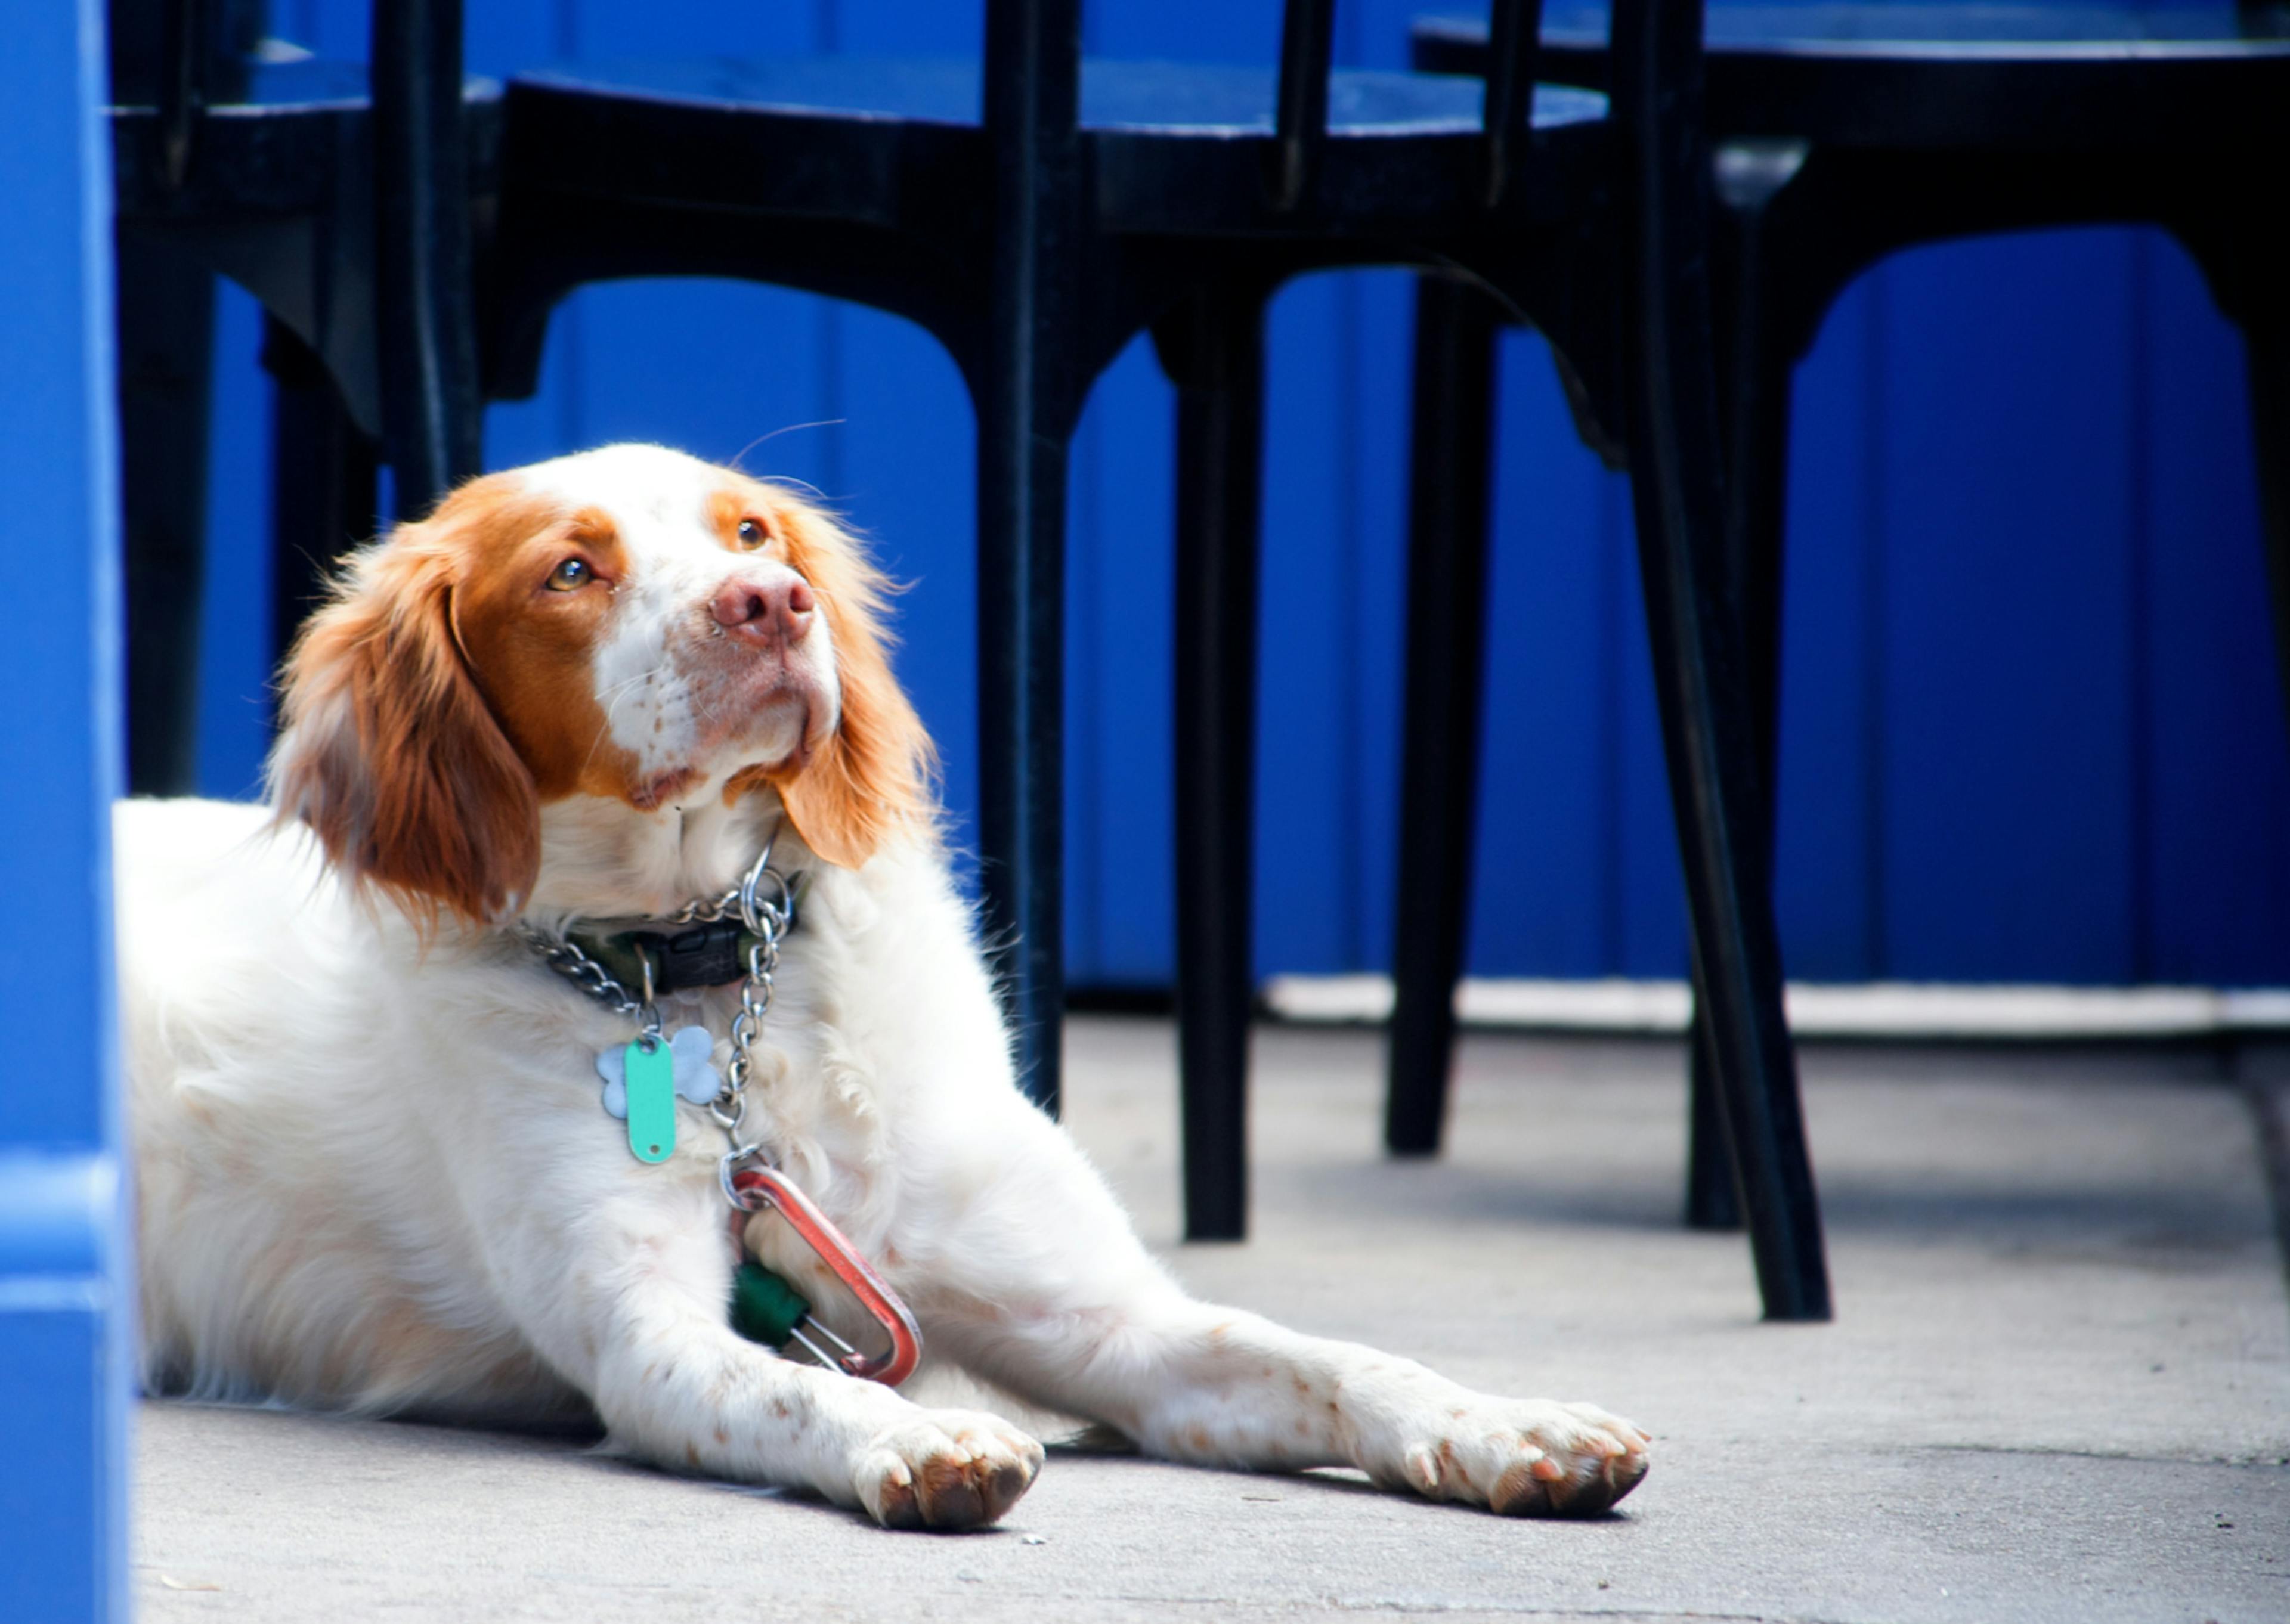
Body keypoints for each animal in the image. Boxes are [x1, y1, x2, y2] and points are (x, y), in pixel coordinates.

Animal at [120, 439, 1648, 1521]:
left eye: (750, 533)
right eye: (569, 573)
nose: (769, 605)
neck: (712, 985)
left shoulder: (1110, 1325)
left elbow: (1326, 1358)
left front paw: (1511, 1425)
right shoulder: (649, 1338)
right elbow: (798, 1399)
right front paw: (922, 1440)